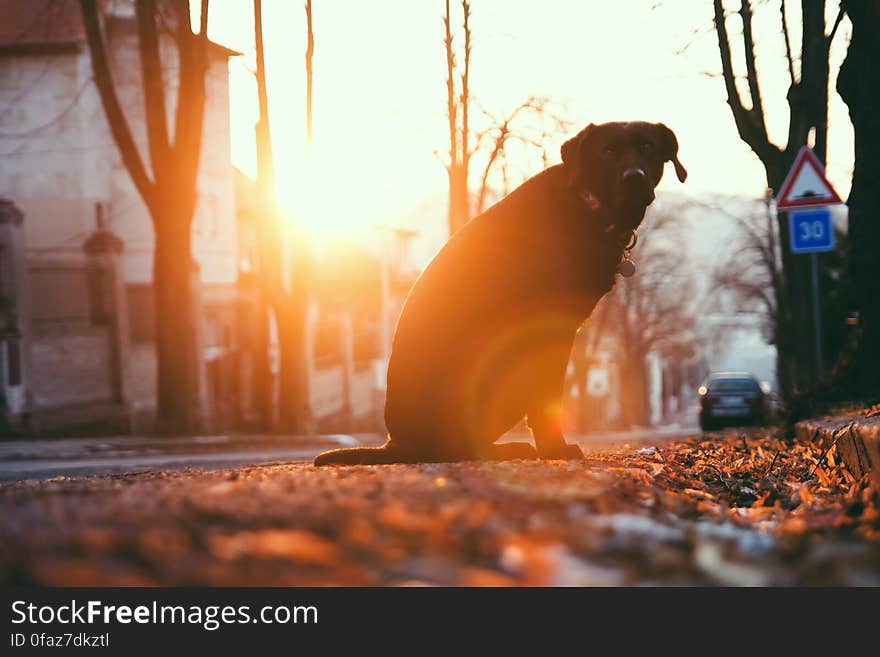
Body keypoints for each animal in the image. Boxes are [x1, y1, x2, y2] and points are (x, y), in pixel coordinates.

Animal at [316, 120, 688, 464]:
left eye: (647, 147)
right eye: (608, 151)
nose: (634, 177)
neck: (586, 204)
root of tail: (398, 444)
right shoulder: (550, 327)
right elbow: (547, 399)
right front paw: (555, 448)